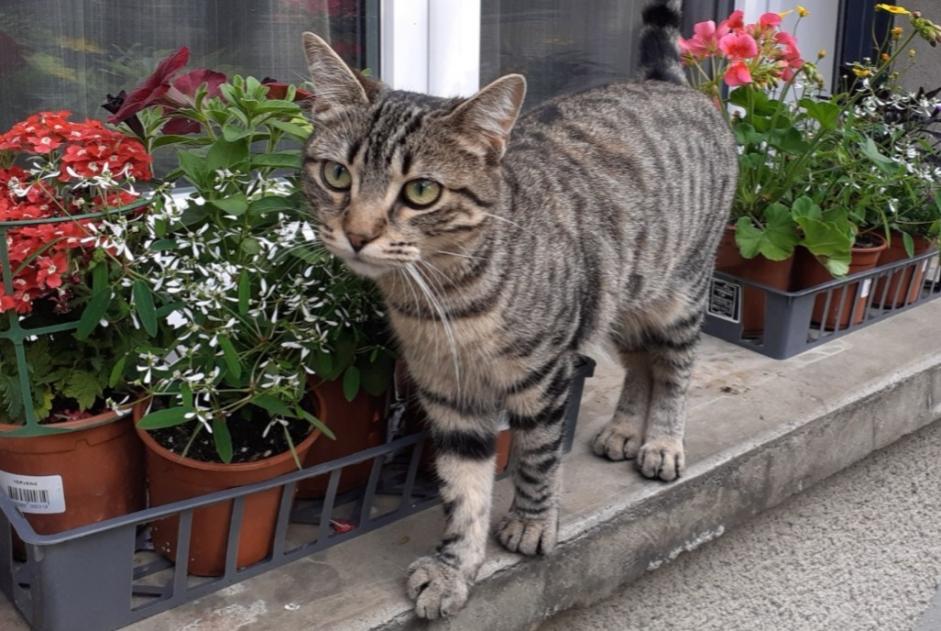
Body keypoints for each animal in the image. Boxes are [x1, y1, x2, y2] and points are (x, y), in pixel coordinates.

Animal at [302, 0, 740, 624]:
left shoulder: (546, 377)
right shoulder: (450, 396)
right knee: (639, 366)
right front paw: (456, 567)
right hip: (620, 303)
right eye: (337, 174)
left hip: (679, 294)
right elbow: (462, 489)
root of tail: (668, 83)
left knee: (674, 371)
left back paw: (661, 442)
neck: (444, 301)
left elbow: (536, 458)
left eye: (421, 192)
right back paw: (625, 429)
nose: (358, 235)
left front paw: (532, 524)